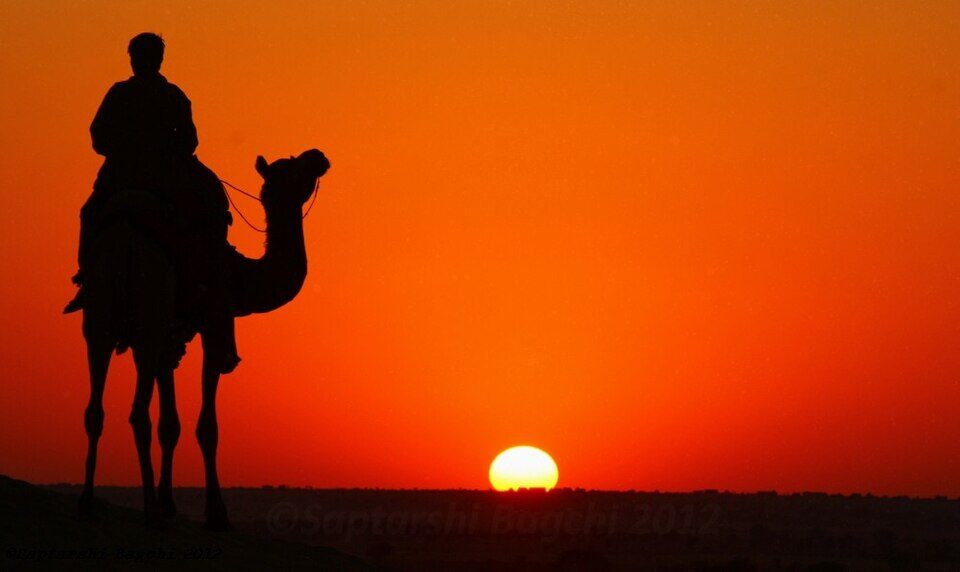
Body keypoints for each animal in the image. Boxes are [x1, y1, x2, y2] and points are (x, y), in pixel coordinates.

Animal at [77, 149, 330, 529]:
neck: (241, 274)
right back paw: (149, 513)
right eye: (293, 168)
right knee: (138, 414)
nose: (318, 156)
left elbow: (170, 424)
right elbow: (207, 427)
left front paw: (169, 503)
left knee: (96, 409)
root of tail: (124, 239)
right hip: (150, 315)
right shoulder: (212, 326)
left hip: (99, 320)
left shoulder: (170, 340)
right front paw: (216, 512)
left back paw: (88, 504)